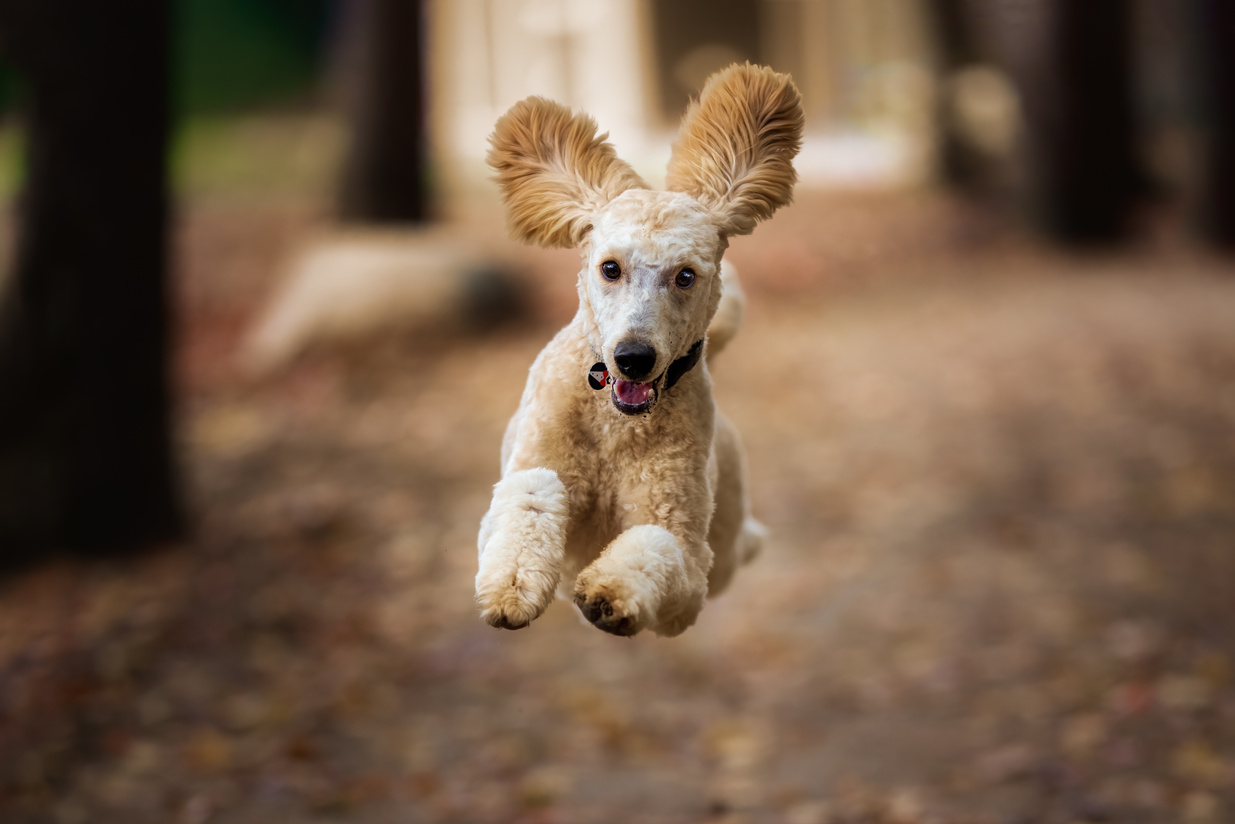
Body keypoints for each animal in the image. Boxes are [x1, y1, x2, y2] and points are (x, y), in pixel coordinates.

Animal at [469, 63, 800, 637]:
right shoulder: (521, 480)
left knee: (736, 547)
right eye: (610, 268)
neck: (616, 427)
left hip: (726, 542)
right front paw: (512, 589)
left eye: (685, 275)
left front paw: (608, 593)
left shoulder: (687, 576)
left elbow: (658, 544)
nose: (633, 358)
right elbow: (531, 493)